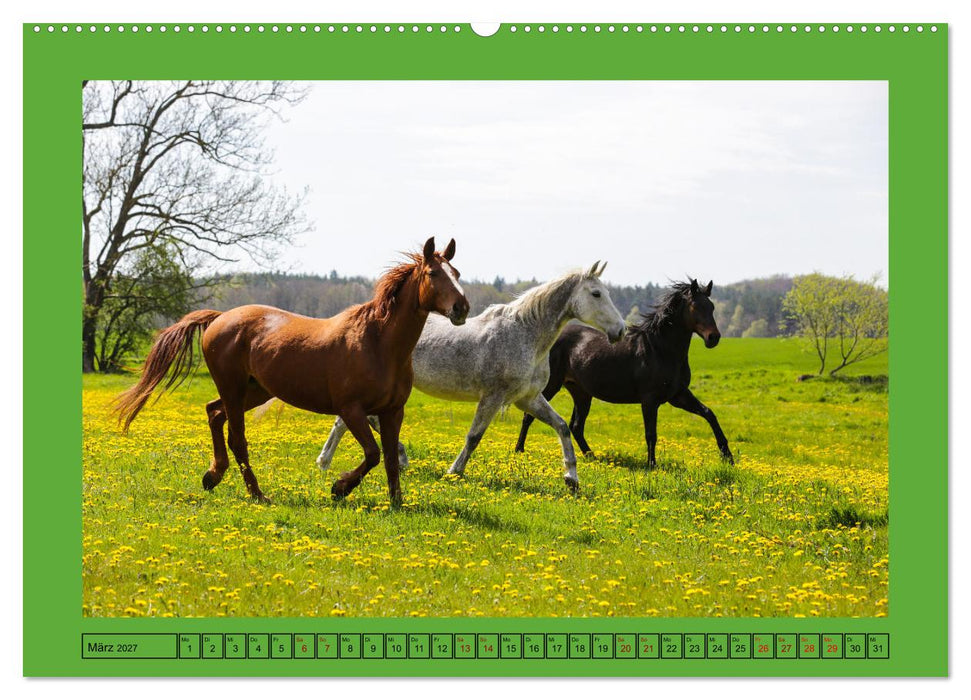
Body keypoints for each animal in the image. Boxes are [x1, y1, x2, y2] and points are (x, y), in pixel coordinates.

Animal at [114, 237, 470, 506]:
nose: (461, 308)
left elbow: (391, 460)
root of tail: (219, 318)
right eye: (433, 273)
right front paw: (339, 488)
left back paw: (213, 476)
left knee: (214, 413)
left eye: (457, 272)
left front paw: (397, 503)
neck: (378, 342)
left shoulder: (393, 411)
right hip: (234, 388)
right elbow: (373, 454)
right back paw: (258, 495)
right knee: (236, 438)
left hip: (254, 390)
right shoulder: (352, 409)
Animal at [315, 261, 627, 491]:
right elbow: (474, 436)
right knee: (353, 419)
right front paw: (454, 472)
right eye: (596, 294)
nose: (621, 330)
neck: (524, 335)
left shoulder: (527, 399)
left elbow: (562, 426)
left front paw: (571, 479)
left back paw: (340, 462)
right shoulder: (493, 397)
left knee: (349, 420)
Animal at [515, 279, 734, 468]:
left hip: (581, 393)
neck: (660, 349)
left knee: (576, 426)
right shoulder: (650, 400)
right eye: (695, 307)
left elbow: (709, 414)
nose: (713, 338)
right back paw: (519, 450)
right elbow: (651, 433)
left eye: (711, 307)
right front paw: (652, 465)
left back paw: (591, 456)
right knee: (529, 416)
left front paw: (728, 457)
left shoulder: (678, 395)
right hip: (552, 385)